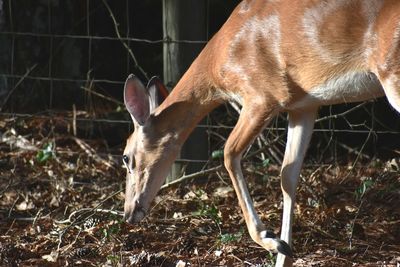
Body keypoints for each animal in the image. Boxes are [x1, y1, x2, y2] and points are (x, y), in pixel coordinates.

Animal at [121, 1, 400, 266]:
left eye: (126, 157)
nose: (128, 213)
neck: (218, 65)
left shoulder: (261, 94)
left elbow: (229, 152)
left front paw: (269, 240)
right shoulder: (303, 105)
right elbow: (288, 174)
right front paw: (284, 254)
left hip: (391, 73)